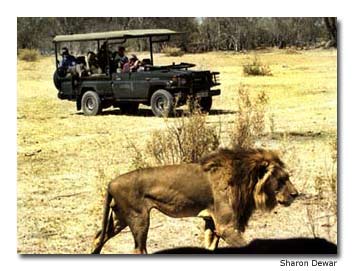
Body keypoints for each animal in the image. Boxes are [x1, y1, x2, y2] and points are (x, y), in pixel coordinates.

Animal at [90, 148, 298, 254]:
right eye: (281, 180)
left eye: (288, 177)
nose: (296, 194)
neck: (244, 182)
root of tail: (110, 182)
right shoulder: (226, 227)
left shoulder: (212, 224)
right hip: (138, 219)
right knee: (138, 250)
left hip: (119, 218)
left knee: (97, 237)